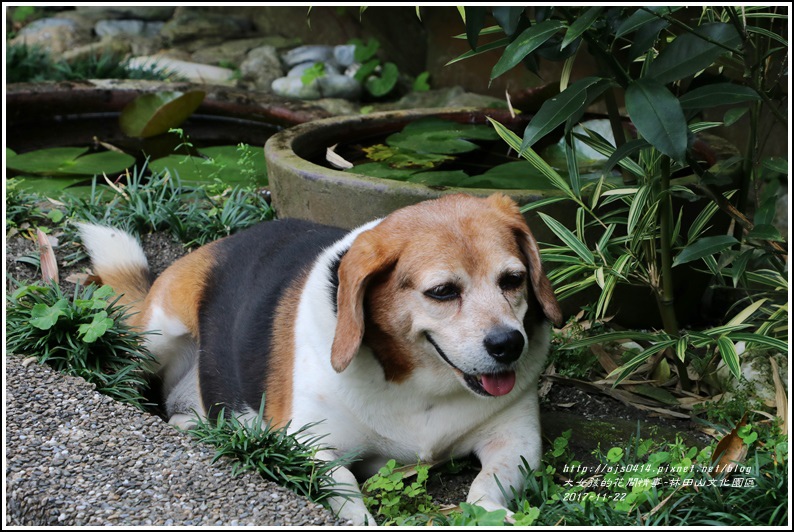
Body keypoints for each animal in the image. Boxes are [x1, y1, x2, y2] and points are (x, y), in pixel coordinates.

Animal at [77, 192, 560, 524]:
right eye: (442, 292)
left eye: (512, 279)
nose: (509, 344)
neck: (420, 383)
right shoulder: (304, 443)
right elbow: (345, 485)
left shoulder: (516, 440)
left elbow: (486, 486)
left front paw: (493, 514)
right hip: (156, 336)